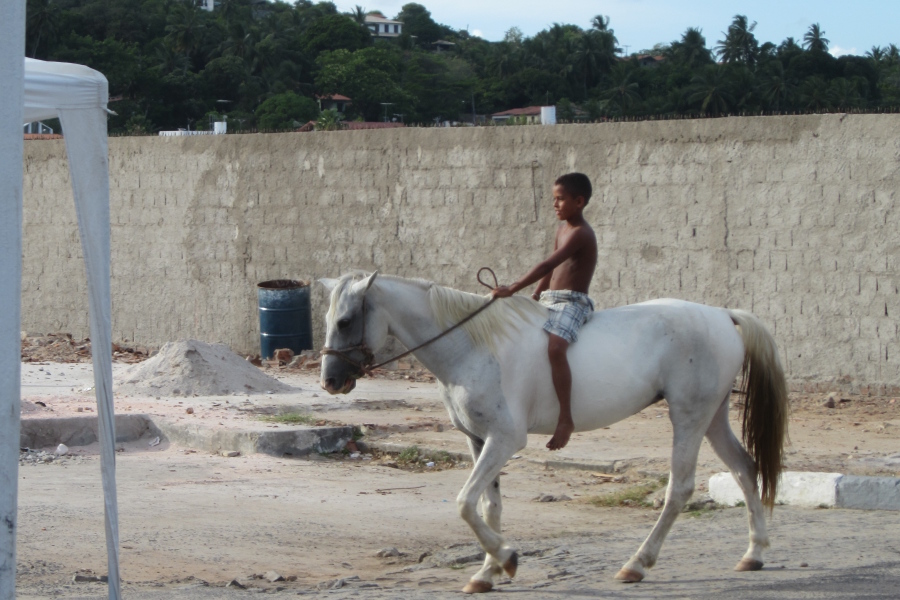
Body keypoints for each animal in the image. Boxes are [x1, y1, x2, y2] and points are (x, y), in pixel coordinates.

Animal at [316, 274, 788, 592]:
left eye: (345, 321)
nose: (331, 381)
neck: (472, 345)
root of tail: (722, 315)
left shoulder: (505, 440)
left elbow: (465, 503)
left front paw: (506, 558)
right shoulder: (478, 440)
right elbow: (487, 507)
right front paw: (487, 571)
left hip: (688, 417)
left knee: (680, 489)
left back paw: (637, 563)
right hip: (712, 417)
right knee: (745, 469)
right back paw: (753, 554)